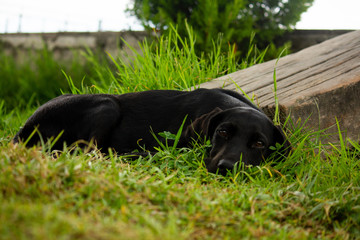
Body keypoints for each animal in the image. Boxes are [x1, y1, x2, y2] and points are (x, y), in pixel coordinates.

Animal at [12, 89, 292, 173]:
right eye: (222, 132)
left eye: (259, 144)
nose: (226, 167)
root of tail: (22, 130)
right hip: (108, 104)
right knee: (89, 152)